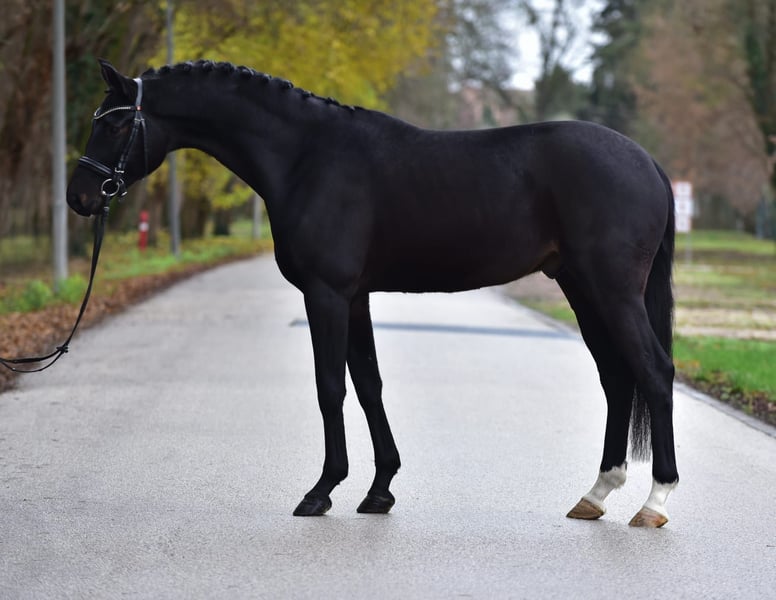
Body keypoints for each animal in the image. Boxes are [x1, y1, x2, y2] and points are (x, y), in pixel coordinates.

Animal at [66, 59, 678, 527]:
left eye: (115, 126)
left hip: (611, 290)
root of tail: (647, 161)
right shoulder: (354, 296)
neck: (307, 156)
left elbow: (330, 387)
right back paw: (596, 495)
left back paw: (654, 501)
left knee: (653, 371)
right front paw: (379, 490)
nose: (79, 197)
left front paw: (322, 491)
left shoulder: (327, 294)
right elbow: (368, 384)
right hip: (581, 288)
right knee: (617, 377)